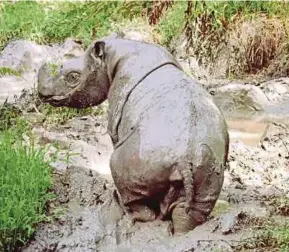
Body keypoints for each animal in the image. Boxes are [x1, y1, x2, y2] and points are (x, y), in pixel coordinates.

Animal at [37, 33, 228, 234]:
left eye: (73, 76)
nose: (42, 94)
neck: (112, 56)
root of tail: (183, 160)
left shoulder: (115, 115)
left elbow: (114, 137)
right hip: (208, 162)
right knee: (192, 208)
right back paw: (182, 231)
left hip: (145, 155)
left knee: (119, 166)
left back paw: (124, 209)